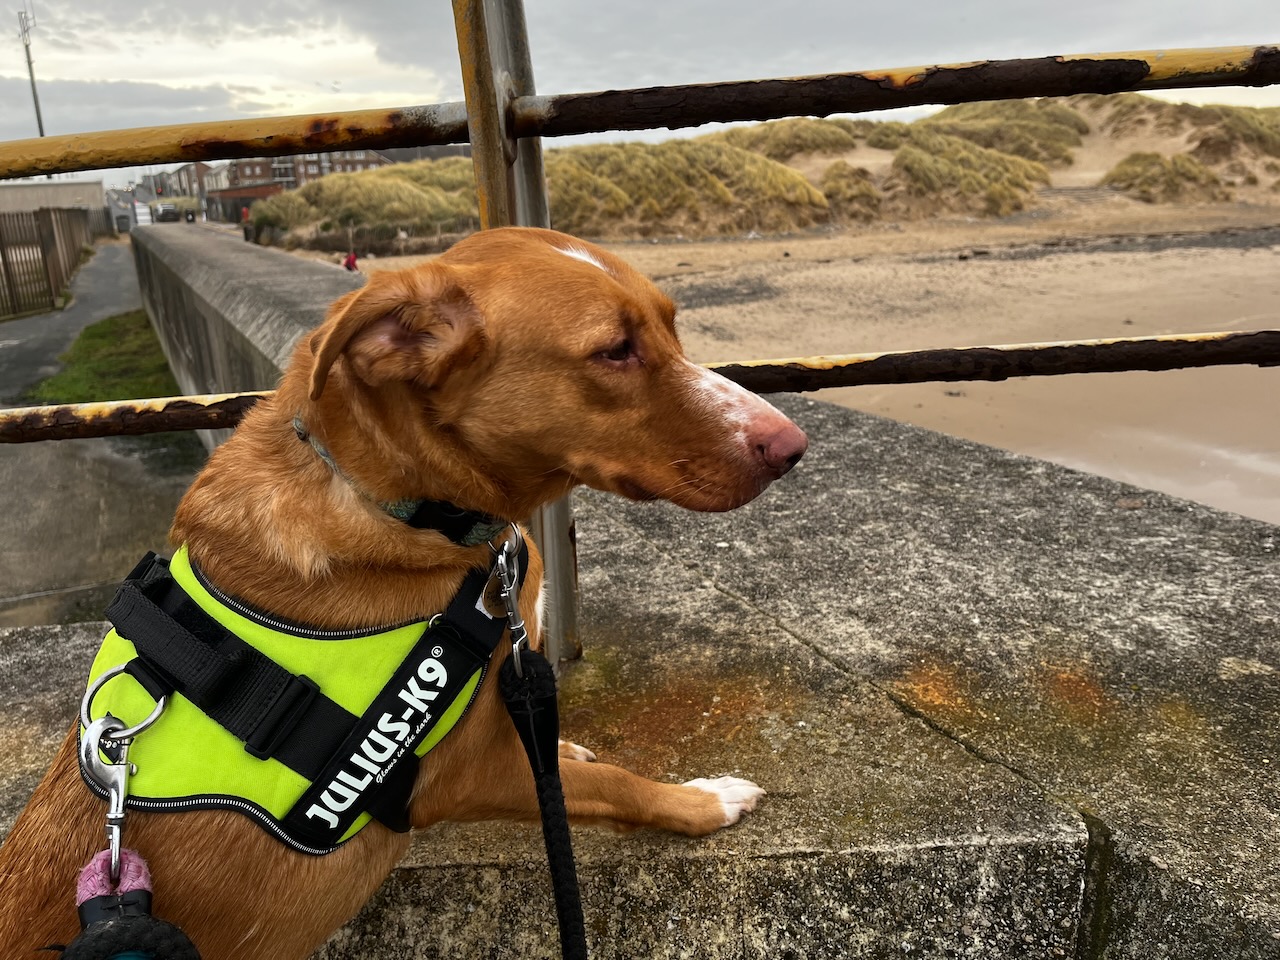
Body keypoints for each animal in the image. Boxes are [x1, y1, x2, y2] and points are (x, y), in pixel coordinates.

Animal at [0, 226, 807, 959]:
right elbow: (617, 785)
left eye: (671, 325)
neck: (401, 504)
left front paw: (564, 746)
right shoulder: (461, 780)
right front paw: (700, 801)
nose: (792, 446)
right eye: (614, 351)